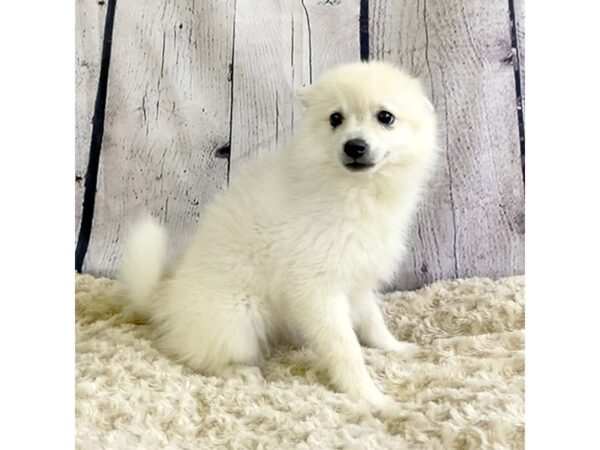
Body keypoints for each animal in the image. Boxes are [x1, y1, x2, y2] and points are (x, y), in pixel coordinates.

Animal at [118, 61, 436, 414]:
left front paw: (397, 348)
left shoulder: (357, 281)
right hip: (240, 319)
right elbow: (345, 347)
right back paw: (239, 373)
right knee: (196, 356)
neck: (356, 191)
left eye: (385, 117)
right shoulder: (317, 290)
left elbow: (372, 323)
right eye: (335, 118)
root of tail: (163, 301)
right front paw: (372, 398)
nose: (354, 146)